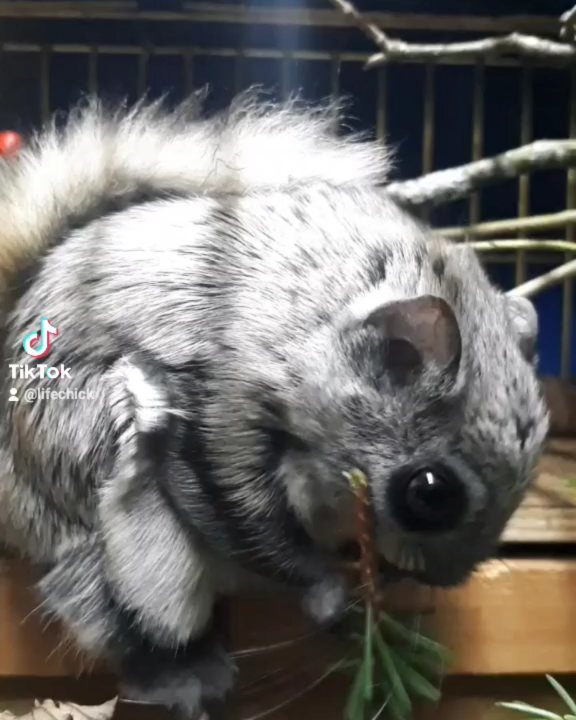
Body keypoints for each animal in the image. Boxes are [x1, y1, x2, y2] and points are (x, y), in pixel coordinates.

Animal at [0, 90, 548, 718]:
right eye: (431, 493)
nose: (444, 581)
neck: (318, 332)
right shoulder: (224, 408)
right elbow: (246, 523)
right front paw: (328, 590)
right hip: (75, 455)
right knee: (124, 602)